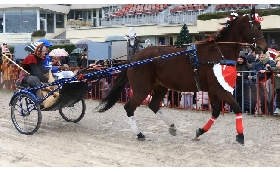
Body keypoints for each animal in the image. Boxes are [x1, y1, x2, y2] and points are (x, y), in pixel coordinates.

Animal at [97, 8, 268, 145]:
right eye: (258, 26)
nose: (264, 48)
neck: (218, 53)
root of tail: (134, 58)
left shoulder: (213, 90)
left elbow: (216, 111)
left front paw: (200, 131)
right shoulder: (219, 89)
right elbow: (237, 107)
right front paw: (240, 136)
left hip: (160, 86)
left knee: (153, 105)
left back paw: (172, 126)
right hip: (142, 89)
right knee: (129, 107)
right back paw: (139, 134)